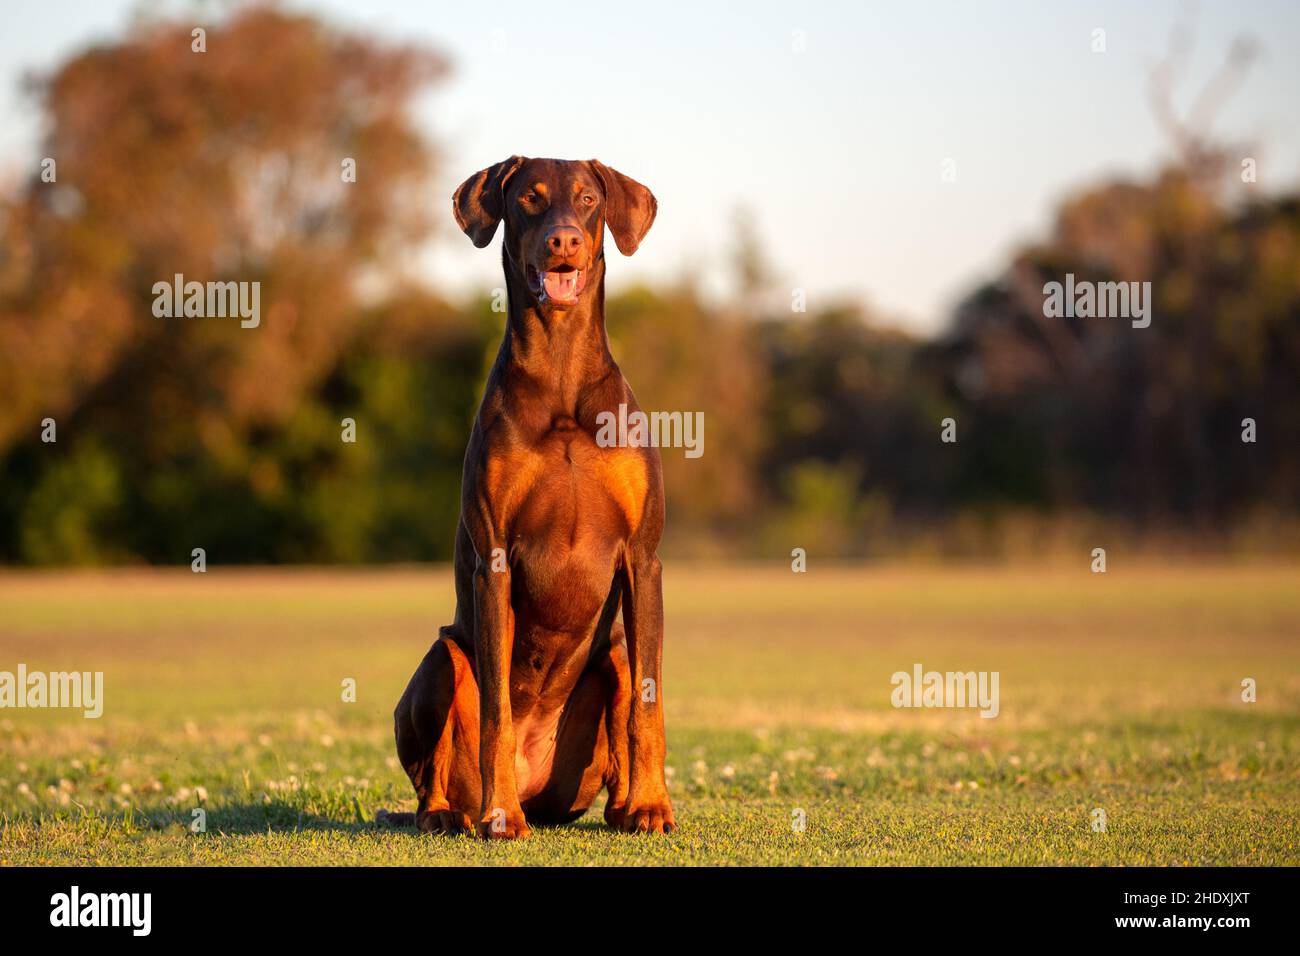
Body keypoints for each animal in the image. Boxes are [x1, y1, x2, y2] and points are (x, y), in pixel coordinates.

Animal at [382, 155, 670, 837]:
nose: (562, 241)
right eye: (530, 199)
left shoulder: (643, 558)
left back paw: (625, 807)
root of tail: (542, 787)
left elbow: (648, 705)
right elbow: (495, 711)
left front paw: (653, 805)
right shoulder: (494, 558)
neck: (561, 374)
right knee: (434, 765)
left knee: (625, 680)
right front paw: (500, 815)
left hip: (613, 658)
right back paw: (453, 813)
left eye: (588, 199)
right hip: (442, 659)